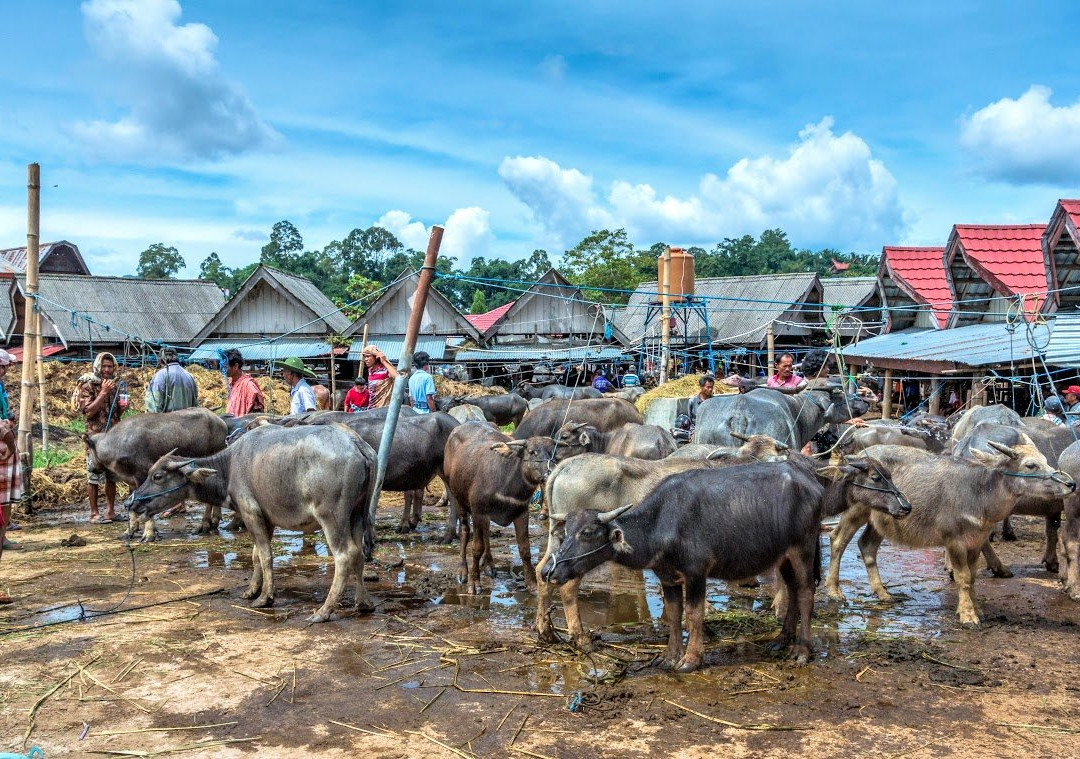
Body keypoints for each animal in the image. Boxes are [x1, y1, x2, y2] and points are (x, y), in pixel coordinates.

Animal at [88, 405, 230, 544]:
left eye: (89, 451)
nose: (89, 467)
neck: (117, 445)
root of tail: (220, 420)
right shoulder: (131, 482)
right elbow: (132, 506)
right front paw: (129, 531)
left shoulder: (142, 476)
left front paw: (149, 534)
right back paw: (214, 521)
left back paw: (205, 524)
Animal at [544, 453, 907, 669]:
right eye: (566, 532)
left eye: (589, 532)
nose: (554, 570)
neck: (663, 520)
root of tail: (811, 486)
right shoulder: (667, 576)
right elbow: (674, 615)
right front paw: (669, 656)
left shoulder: (696, 573)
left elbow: (694, 614)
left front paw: (691, 659)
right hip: (782, 554)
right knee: (793, 588)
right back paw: (780, 641)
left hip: (802, 547)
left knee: (805, 592)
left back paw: (801, 651)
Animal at [825, 442, 1071, 626]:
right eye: (1031, 465)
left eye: (1045, 460)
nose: (1070, 483)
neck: (979, 494)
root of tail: (856, 457)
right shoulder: (954, 541)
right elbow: (962, 577)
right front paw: (968, 615)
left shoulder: (976, 541)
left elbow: (973, 577)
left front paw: (977, 607)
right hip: (856, 510)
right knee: (837, 540)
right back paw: (834, 591)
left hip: (881, 520)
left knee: (867, 546)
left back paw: (883, 593)